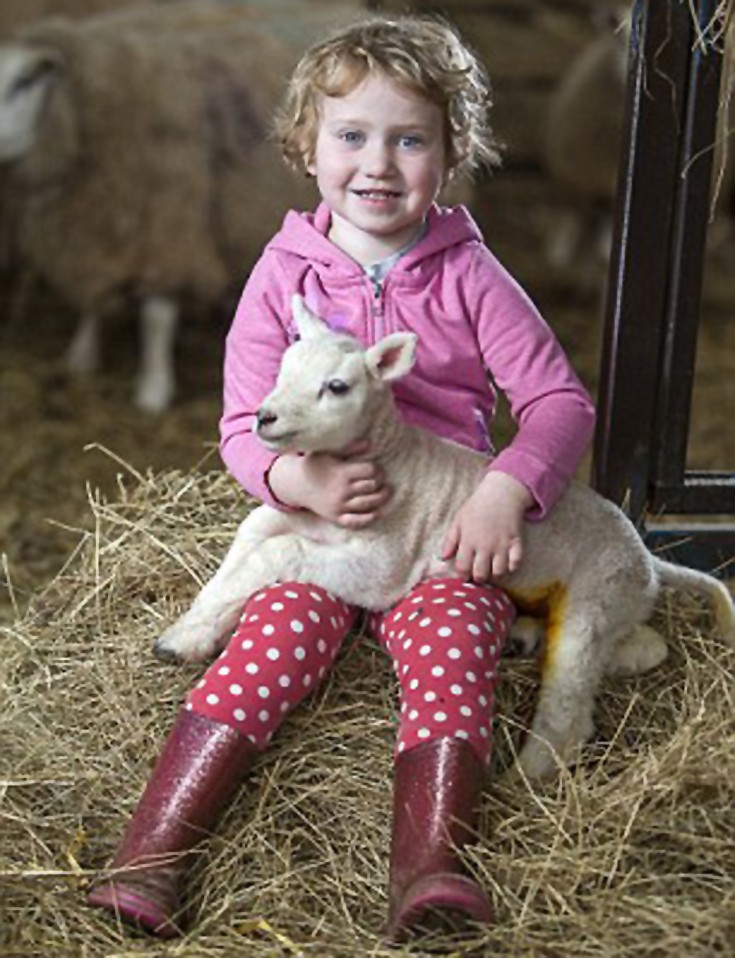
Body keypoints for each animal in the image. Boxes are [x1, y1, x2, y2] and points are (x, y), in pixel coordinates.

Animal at [0, 0, 360, 412]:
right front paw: (82, 354)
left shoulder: (170, 222)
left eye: (23, 82)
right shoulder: (95, 222)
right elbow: (94, 293)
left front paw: (153, 389)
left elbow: (156, 316)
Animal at [157, 296, 735, 784]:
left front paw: (187, 632)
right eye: (282, 370)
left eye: (336, 387)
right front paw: (189, 630)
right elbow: (251, 535)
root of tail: (651, 562)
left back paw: (526, 775)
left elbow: (280, 551)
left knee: (573, 702)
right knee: (643, 644)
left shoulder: (381, 565)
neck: (388, 456)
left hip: (598, 597)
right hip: (608, 606)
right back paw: (528, 641)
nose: (264, 417)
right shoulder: (304, 516)